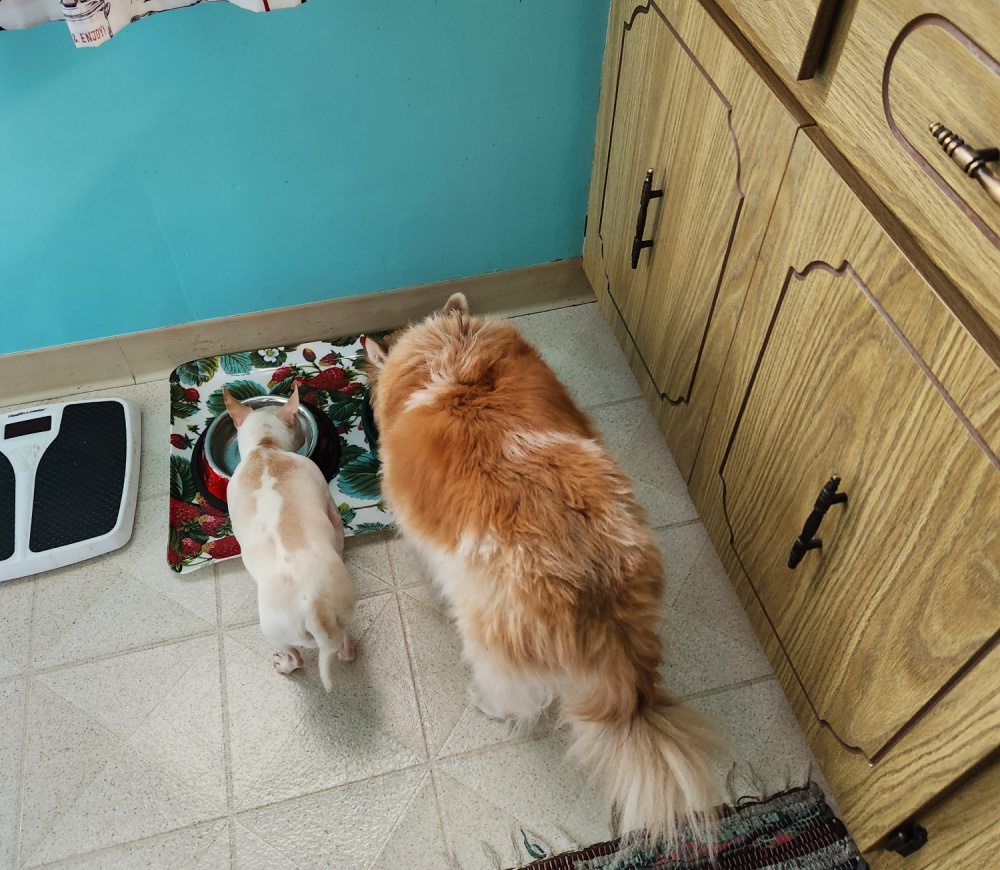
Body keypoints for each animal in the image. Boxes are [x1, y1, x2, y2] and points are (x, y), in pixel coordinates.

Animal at [223, 384, 356, 692]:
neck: (266, 447)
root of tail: (316, 610)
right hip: (343, 612)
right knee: (345, 645)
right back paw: (347, 652)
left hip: (275, 633)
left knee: (296, 657)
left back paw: (285, 665)